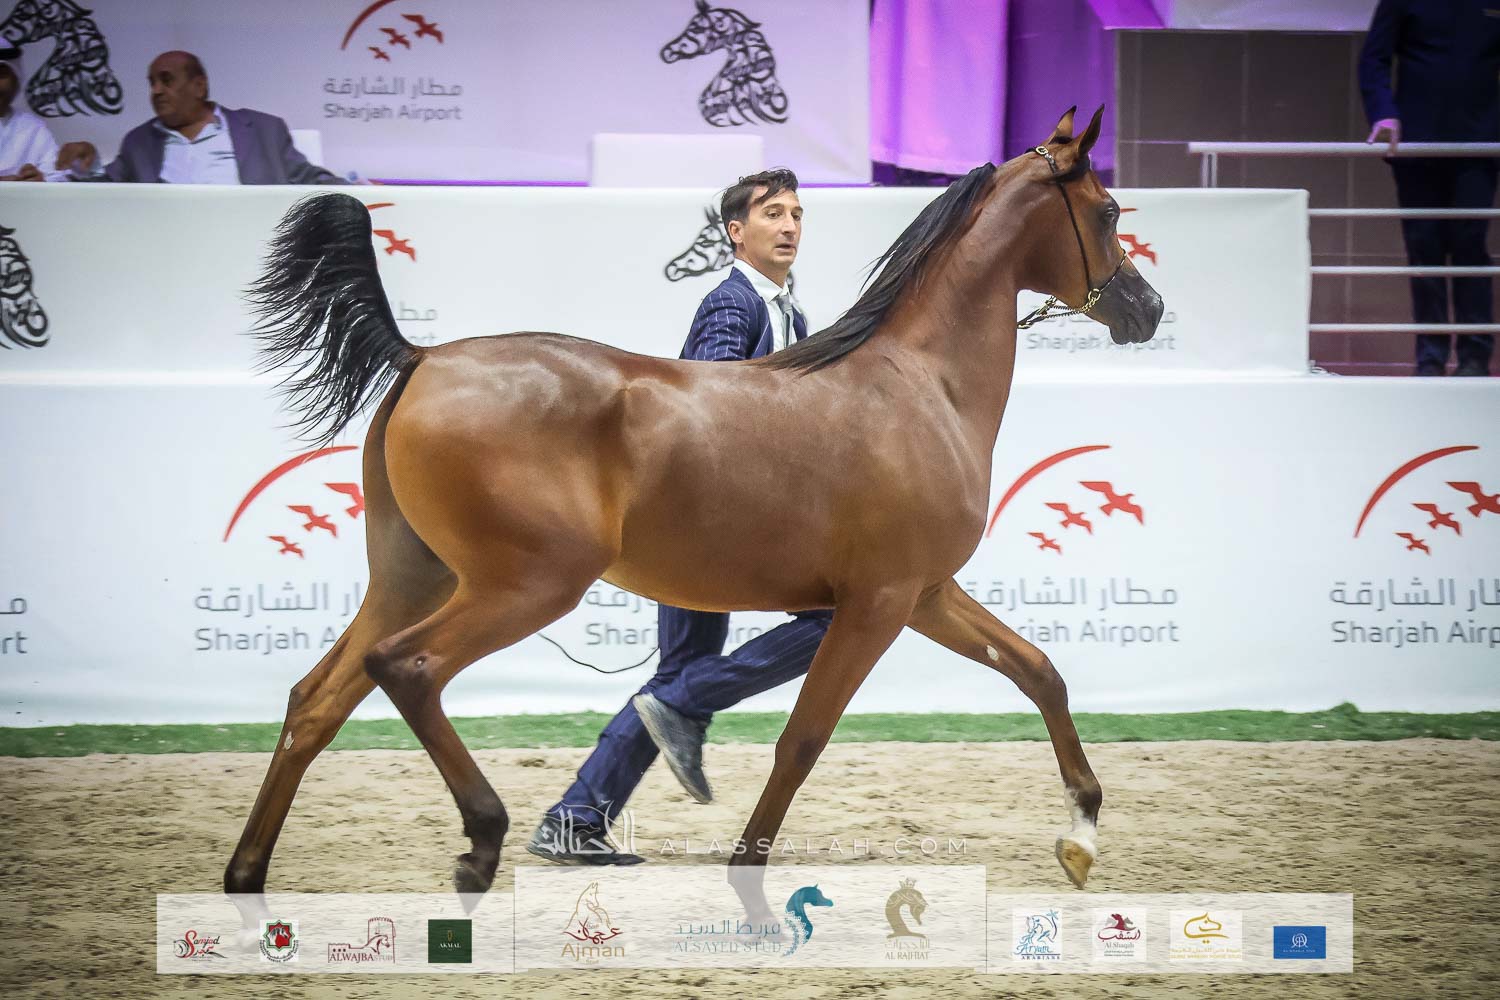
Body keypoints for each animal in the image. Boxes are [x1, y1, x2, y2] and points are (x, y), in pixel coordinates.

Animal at [223, 106, 1163, 926]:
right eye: (1110, 210)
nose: (1147, 309)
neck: (920, 385)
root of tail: (422, 357)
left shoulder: (925, 594)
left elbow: (1039, 671)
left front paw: (1081, 836)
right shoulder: (879, 604)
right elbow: (803, 740)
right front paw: (750, 889)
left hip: (413, 575)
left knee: (315, 702)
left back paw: (248, 882)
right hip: (523, 585)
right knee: (407, 669)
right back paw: (479, 845)